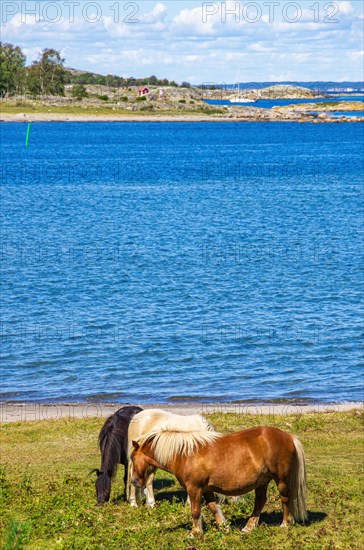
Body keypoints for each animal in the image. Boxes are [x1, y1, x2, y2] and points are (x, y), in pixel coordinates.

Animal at [131, 426, 308, 540]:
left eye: (132, 458)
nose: (134, 482)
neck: (184, 454)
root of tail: (288, 436)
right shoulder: (206, 489)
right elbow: (214, 507)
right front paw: (224, 526)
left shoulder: (194, 488)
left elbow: (195, 511)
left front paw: (195, 533)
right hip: (262, 481)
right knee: (260, 501)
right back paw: (249, 527)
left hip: (281, 480)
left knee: (285, 498)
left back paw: (285, 523)